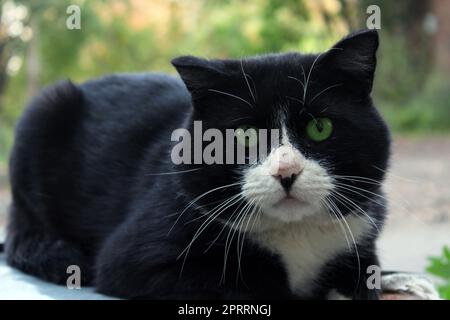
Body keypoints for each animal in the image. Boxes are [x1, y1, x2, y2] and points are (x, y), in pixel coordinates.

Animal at [4, 28, 390, 298]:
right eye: (245, 135)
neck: (296, 234)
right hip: (44, 109)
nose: (286, 171)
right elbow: (242, 286)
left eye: (319, 127)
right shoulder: (134, 260)